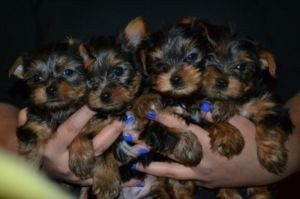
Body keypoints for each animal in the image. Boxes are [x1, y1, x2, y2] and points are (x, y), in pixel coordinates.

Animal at [9, 39, 85, 169]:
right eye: (37, 77)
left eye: (67, 72)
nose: (51, 89)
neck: (57, 111)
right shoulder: (32, 128)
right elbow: (31, 148)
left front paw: (81, 154)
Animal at [68, 16, 148, 197]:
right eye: (89, 79)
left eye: (118, 71)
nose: (104, 95)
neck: (112, 113)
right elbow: (79, 132)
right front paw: (81, 157)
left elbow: (107, 151)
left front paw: (106, 181)